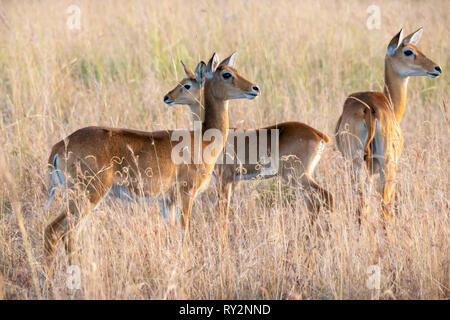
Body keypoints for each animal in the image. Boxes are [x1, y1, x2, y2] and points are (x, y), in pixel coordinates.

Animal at [44, 52, 260, 268]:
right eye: (226, 74)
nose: (255, 88)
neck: (203, 140)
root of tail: (58, 147)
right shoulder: (186, 194)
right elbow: (185, 233)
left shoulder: (168, 201)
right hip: (87, 195)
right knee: (53, 231)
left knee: (69, 235)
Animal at [163, 60, 332, 220]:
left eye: (187, 85)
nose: (167, 97)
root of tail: (319, 134)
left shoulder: (225, 180)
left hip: (296, 176)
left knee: (325, 197)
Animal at [336, 28, 442, 222]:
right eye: (408, 51)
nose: (437, 68)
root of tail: (369, 108)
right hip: (387, 166)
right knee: (385, 207)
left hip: (358, 164)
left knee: (363, 207)